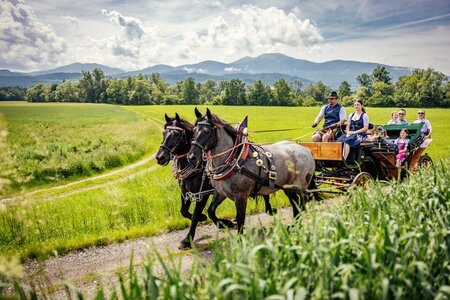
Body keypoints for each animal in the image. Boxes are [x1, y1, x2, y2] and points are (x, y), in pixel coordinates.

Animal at [155, 112, 274, 248]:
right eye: (164, 133)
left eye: (176, 134)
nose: (160, 157)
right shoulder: (186, 193)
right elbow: (184, 211)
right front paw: (208, 219)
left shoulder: (203, 194)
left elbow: (196, 214)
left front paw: (188, 239)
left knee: (265, 192)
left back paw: (269, 209)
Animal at [186, 109, 316, 233]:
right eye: (194, 130)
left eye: (207, 132)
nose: (191, 157)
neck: (235, 160)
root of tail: (307, 150)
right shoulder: (220, 193)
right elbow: (211, 211)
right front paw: (225, 223)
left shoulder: (241, 197)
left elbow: (240, 219)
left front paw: (238, 236)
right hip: (287, 187)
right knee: (295, 204)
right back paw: (292, 226)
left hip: (300, 186)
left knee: (303, 203)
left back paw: (297, 226)